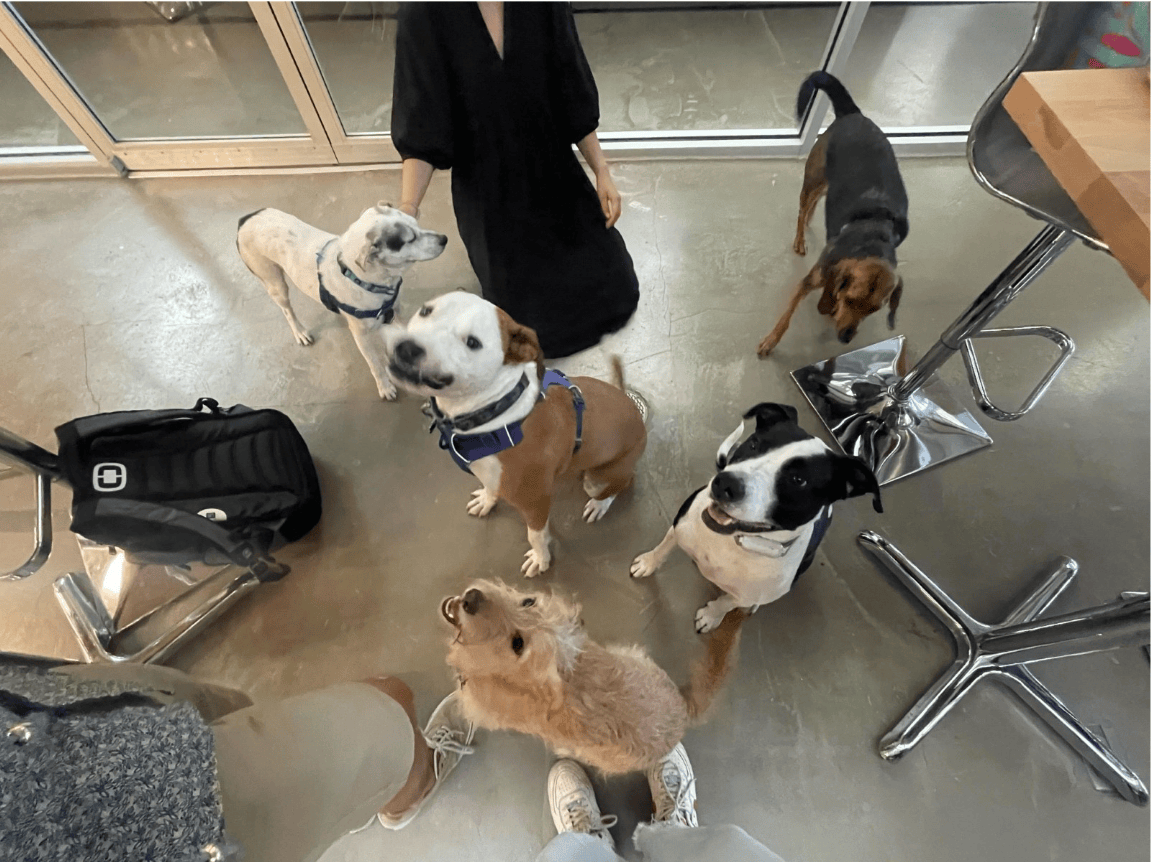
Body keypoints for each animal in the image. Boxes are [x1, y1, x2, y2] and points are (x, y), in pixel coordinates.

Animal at [235, 204, 446, 400]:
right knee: (287, 310)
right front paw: (385, 387)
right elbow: (376, 364)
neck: (363, 279)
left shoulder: (397, 313)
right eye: (410, 239)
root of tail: (245, 219)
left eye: (417, 224)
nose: (444, 239)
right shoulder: (362, 337)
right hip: (275, 283)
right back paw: (300, 332)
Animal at [386, 291, 649, 577]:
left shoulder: (536, 502)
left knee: (622, 483)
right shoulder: (490, 474)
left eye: (473, 343)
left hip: (599, 479)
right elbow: (490, 487)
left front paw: (541, 559)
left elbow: (535, 535)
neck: (495, 412)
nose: (407, 347)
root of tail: (632, 409)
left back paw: (599, 504)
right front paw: (487, 501)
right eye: (426, 311)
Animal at [630, 402, 879, 630]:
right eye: (753, 444)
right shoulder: (680, 525)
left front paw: (711, 616)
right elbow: (663, 547)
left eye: (799, 480)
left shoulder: (746, 594)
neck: (732, 543)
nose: (725, 483)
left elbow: (726, 603)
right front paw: (648, 562)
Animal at [759, 72, 911, 356]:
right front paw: (770, 341)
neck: (873, 237)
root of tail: (853, 113)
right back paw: (800, 238)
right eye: (851, 299)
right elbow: (786, 317)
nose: (845, 338)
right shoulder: (809, 281)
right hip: (814, 179)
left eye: (874, 309)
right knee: (803, 209)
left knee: (816, 204)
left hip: (828, 183)